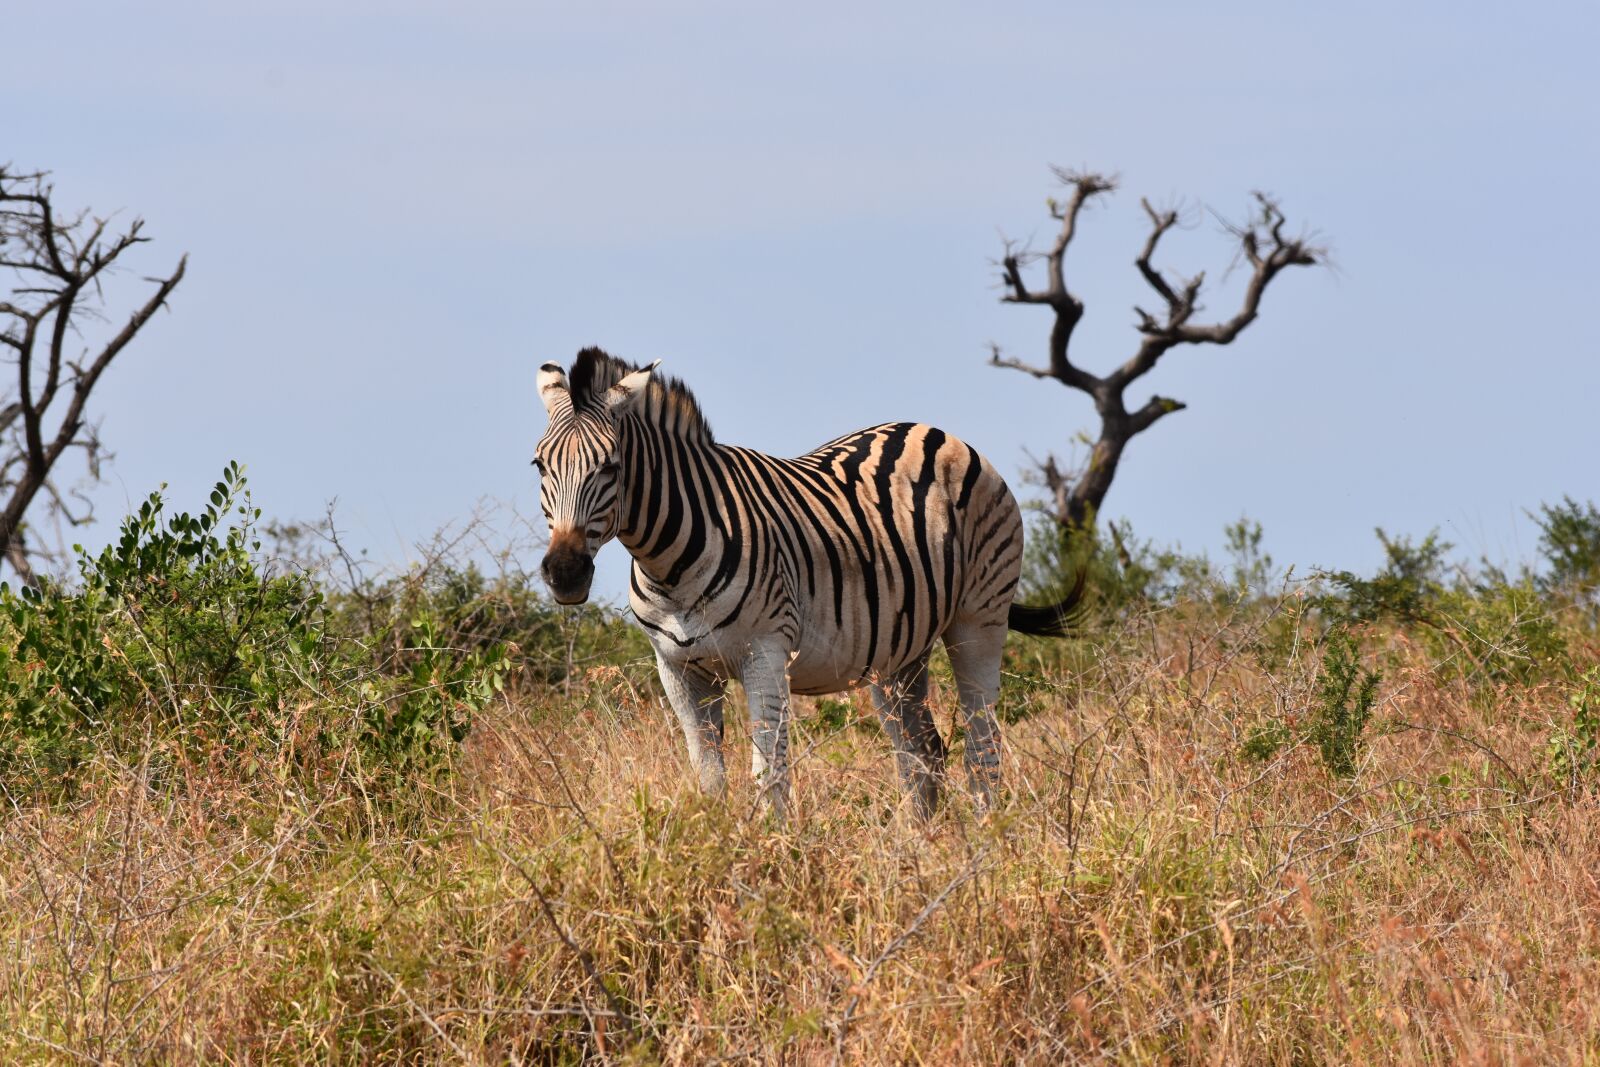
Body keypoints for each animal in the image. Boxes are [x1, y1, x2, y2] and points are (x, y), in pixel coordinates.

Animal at [533, 348, 1081, 820]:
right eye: (538, 464)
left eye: (611, 467)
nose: (565, 573)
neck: (670, 566)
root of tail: (935, 431)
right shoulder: (678, 669)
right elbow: (710, 778)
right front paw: (721, 849)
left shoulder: (766, 654)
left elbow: (769, 774)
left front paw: (776, 854)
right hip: (898, 651)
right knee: (922, 752)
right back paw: (924, 850)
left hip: (979, 619)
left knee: (982, 745)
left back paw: (984, 842)